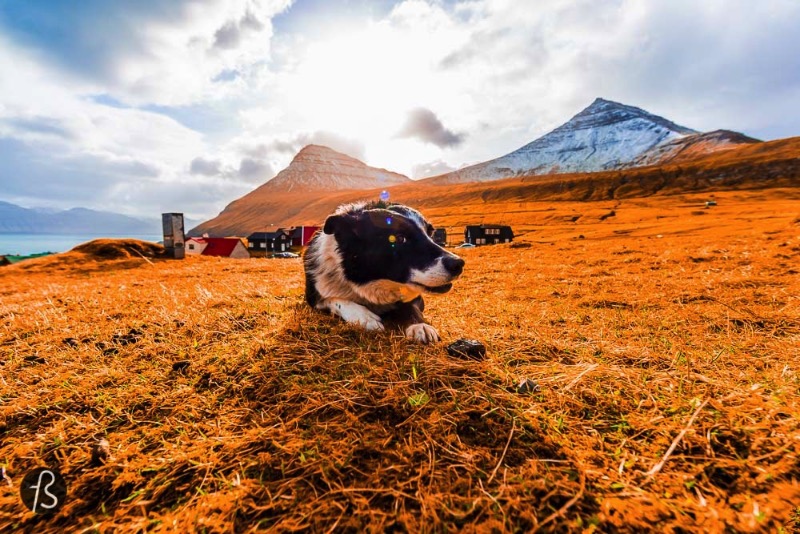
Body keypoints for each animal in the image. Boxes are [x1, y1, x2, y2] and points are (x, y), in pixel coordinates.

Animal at [304, 203, 466, 346]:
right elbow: (335, 300)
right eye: (399, 238)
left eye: (430, 233)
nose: (458, 264)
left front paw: (419, 325)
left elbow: (410, 306)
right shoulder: (315, 296)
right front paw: (363, 317)